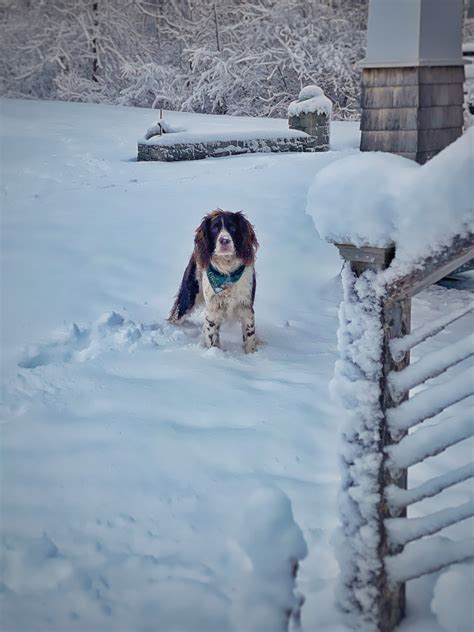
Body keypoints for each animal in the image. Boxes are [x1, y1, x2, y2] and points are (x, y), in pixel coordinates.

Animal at [168, 210, 260, 354]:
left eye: (233, 228)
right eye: (214, 229)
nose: (224, 240)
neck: (227, 272)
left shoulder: (246, 306)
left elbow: (250, 336)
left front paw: (251, 355)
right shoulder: (213, 308)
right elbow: (211, 336)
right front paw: (214, 353)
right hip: (189, 297)